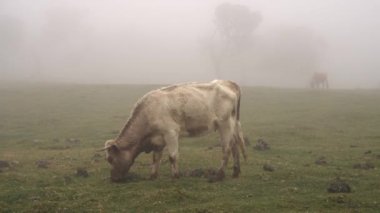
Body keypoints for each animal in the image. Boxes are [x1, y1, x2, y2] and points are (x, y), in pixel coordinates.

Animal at [101, 79, 246, 182]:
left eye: (110, 159)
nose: (113, 179)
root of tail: (228, 82)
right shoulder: (157, 140)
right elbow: (156, 158)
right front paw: (153, 176)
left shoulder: (171, 132)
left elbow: (172, 156)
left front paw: (175, 176)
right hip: (232, 124)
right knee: (234, 145)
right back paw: (235, 172)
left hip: (224, 124)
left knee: (226, 149)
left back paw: (219, 175)